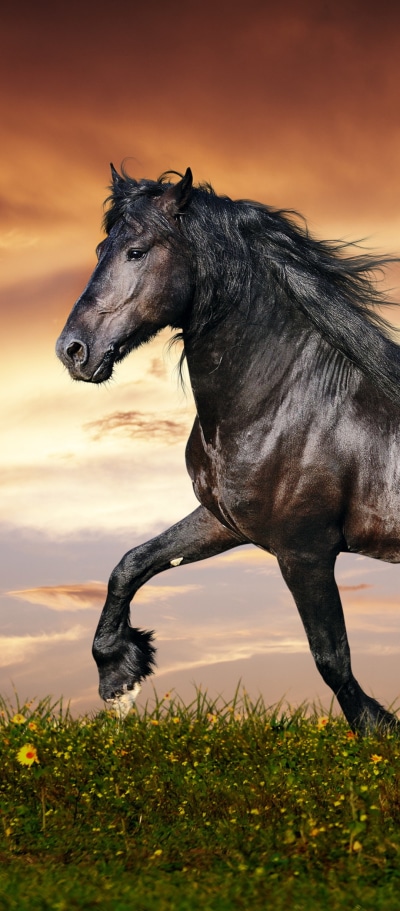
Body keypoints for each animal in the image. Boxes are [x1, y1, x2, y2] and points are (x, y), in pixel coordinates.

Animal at [56, 165, 400, 731]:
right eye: (103, 246)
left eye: (136, 251)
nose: (73, 351)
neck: (287, 403)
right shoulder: (224, 522)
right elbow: (130, 564)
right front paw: (119, 676)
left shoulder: (304, 551)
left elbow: (330, 657)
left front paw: (376, 728)